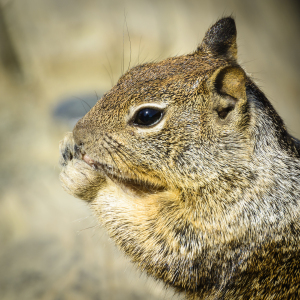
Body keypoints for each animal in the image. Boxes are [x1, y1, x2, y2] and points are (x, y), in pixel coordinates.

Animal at [59, 17, 300, 298]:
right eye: (133, 72)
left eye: (147, 116)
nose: (78, 134)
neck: (241, 170)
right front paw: (67, 146)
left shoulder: (215, 229)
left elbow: (151, 238)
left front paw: (84, 178)